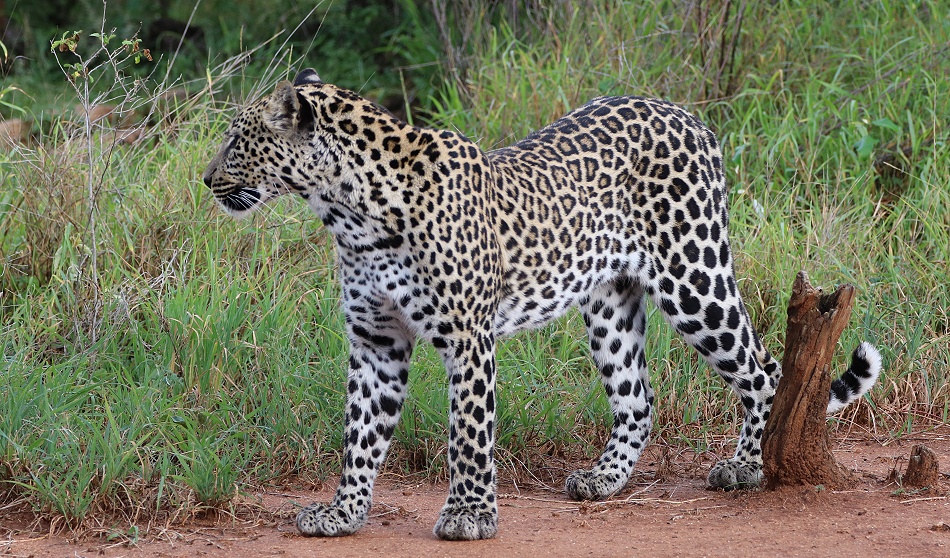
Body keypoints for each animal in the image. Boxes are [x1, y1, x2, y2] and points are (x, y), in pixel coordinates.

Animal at [202, 68, 882, 541]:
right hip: (609, 303)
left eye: (237, 140)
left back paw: (747, 467)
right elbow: (360, 434)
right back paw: (603, 480)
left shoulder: (467, 337)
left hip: (694, 276)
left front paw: (470, 516)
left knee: (761, 370)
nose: (207, 180)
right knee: (639, 398)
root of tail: (690, 116)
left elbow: (469, 433)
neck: (350, 214)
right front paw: (344, 513)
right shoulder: (375, 341)